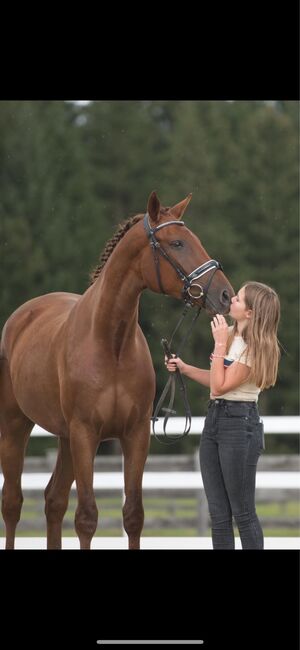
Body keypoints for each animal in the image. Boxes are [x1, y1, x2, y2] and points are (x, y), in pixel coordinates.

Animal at [0, 191, 234, 548]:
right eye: (177, 243)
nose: (225, 295)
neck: (111, 345)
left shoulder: (134, 435)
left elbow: (133, 515)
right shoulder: (86, 434)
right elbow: (86, 518)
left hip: (65, 437)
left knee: (54, 500)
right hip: (16, 426)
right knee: (13, 503)